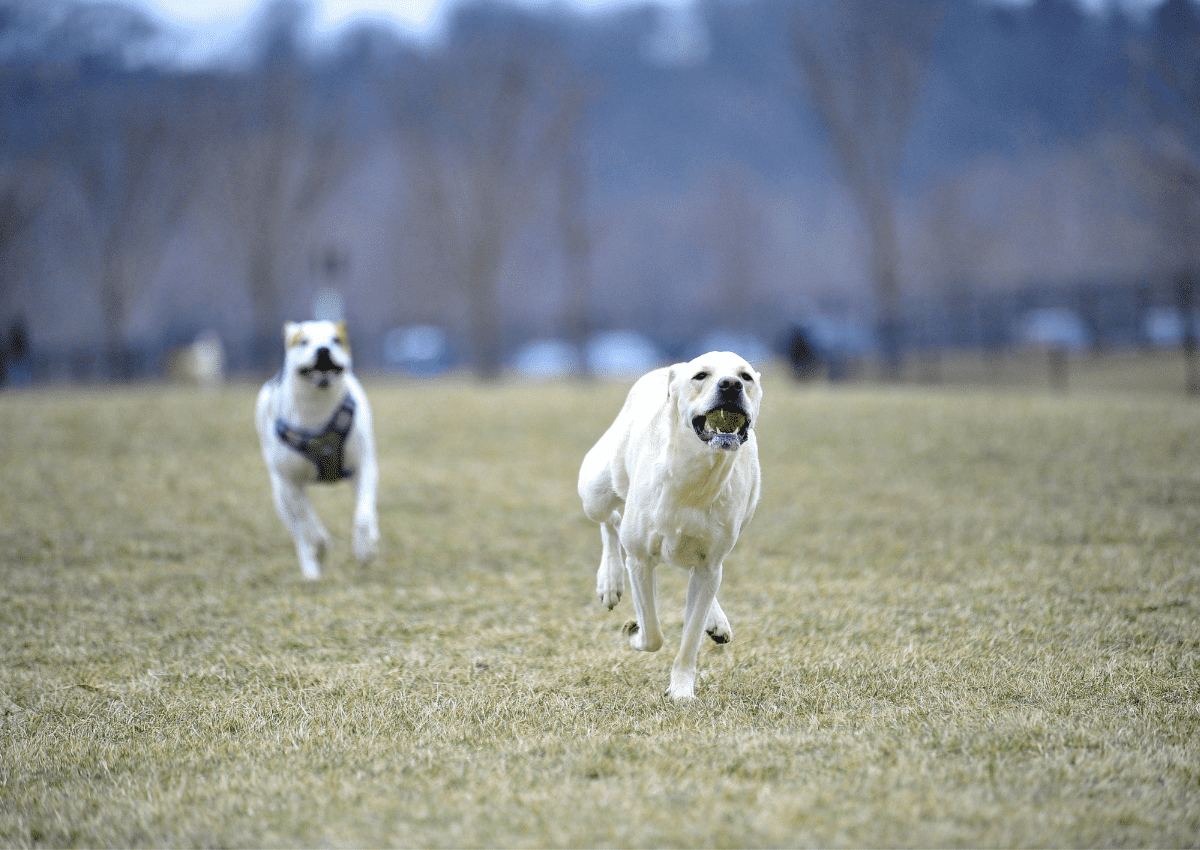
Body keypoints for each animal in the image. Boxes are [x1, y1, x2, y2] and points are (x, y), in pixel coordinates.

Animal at [254, 319, 379, 578]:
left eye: (336, 339)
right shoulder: (289, 481)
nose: (323, 350)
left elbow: (364, 512)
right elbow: (305, 519)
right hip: (279, 495)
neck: (317, 407)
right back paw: (311, 571)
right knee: (299, 531)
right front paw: (320, 541)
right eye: (303, 341)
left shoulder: (364, 466)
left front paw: (365, 547)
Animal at [578, 348, 763, 701]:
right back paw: (609, 581)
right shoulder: (639, 559)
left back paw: (716, 622)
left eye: (745, 376)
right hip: (594, 490)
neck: (697, 476)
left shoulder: (709, 563)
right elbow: (652, 633)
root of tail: (666, 369)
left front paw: (681, 691)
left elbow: (690, 638)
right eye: (701, 375)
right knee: (611, 521)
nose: (731, 385)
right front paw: (634, 632)